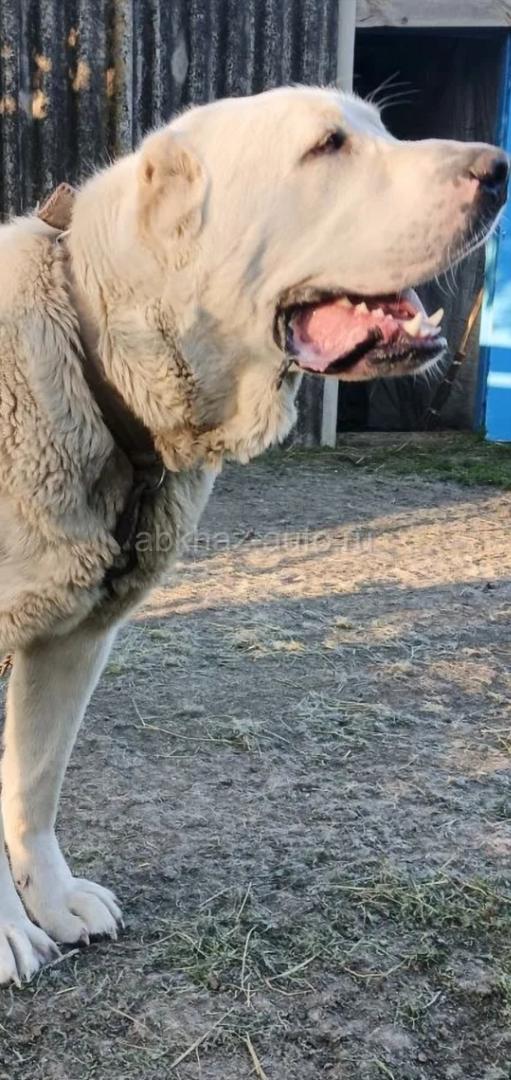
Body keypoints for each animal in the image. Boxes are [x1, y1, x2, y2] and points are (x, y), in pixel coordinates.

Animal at [0, 86, 507, 985]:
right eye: (327, 146)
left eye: (381, 127)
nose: (498, 170)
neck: (89, 348)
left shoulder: (75, 638)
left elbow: (35, 781)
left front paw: (52, 904)